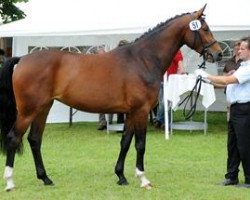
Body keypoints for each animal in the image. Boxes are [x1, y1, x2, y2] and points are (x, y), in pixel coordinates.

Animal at [0, 4, 223, 191]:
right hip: (28, 111)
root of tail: (23, 59)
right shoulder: (141, 111)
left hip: (43, 108)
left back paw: (46, 178)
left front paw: (121, 176)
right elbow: (140, 144)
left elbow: (125, 142)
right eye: (204, 29)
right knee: (14, 138)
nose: (218, 54)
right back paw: (10, 182)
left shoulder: (132, 113)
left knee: (34, 139)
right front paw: (143, 179)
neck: (142, 60)